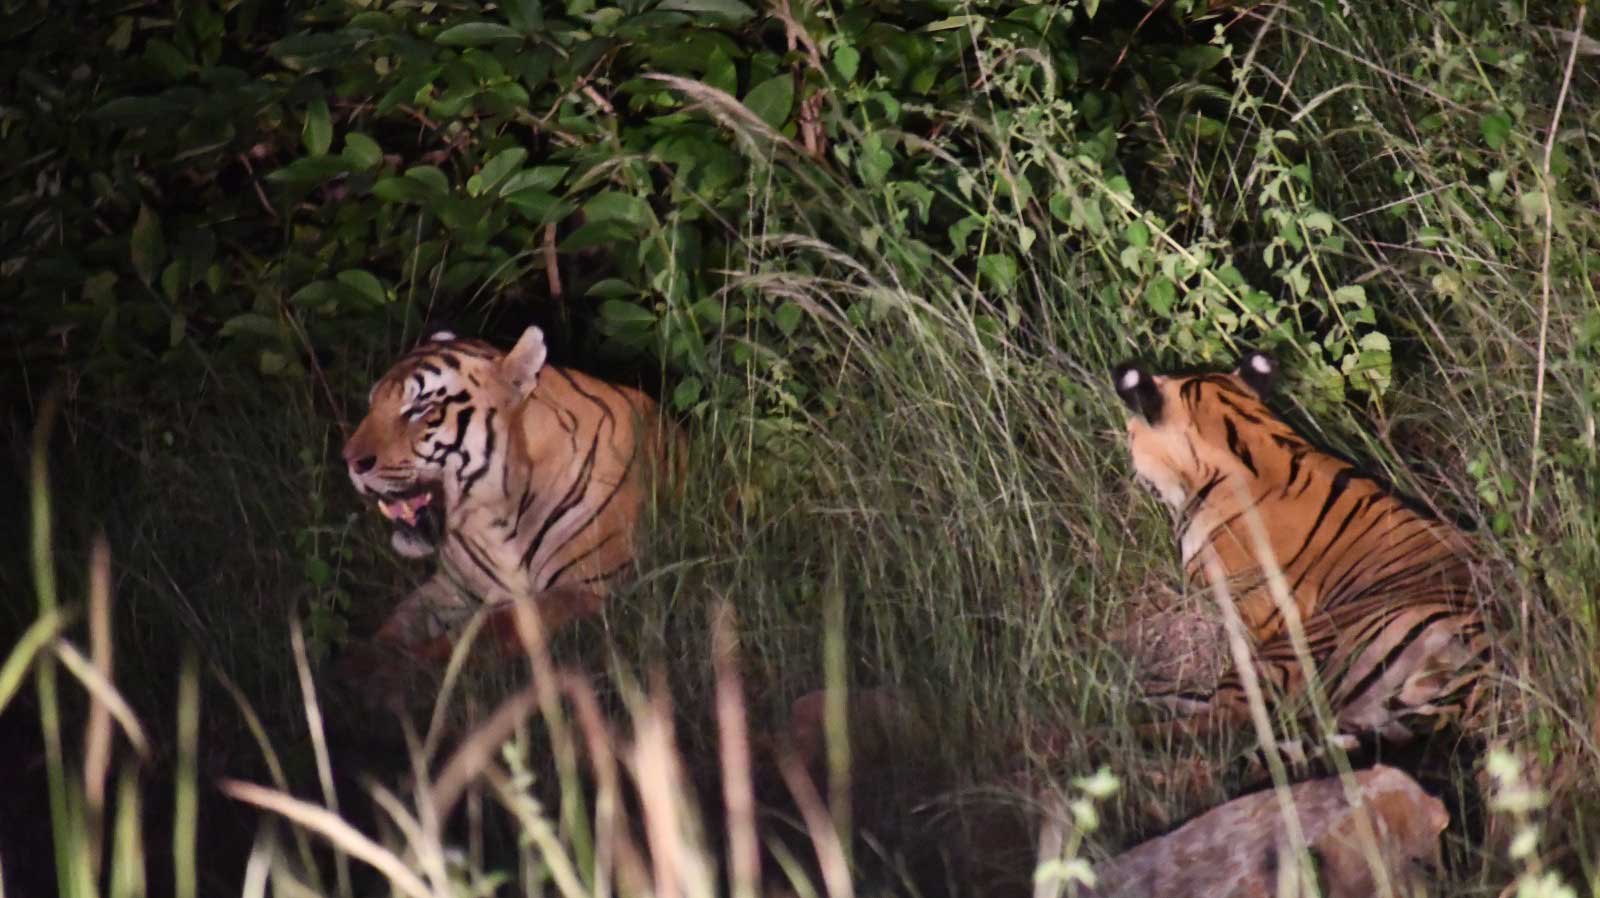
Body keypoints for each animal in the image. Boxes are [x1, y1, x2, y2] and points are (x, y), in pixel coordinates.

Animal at [340, 326, 679, 662]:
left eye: (418, 410)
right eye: (372, 406)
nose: (349, 461)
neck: (497, 517)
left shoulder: (587, 591)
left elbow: (483, 633)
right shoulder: (452, 587)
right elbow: (397, 622)